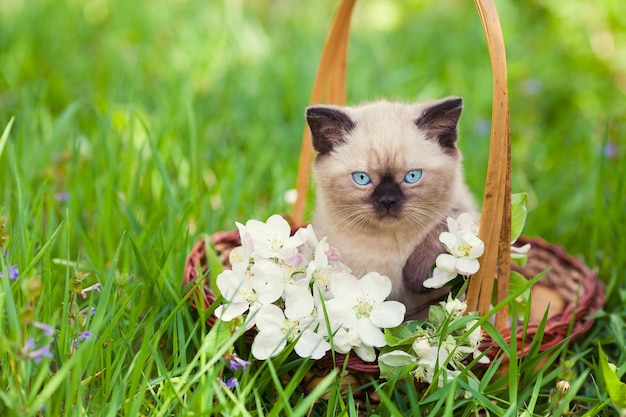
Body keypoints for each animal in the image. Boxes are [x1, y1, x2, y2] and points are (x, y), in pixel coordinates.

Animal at [306, 96, 472, 318]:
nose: (387, 201)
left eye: (412, 176)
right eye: (362, 178)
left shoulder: (463, 214)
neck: (391, 243)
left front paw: (418, 280)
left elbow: (441, 230)